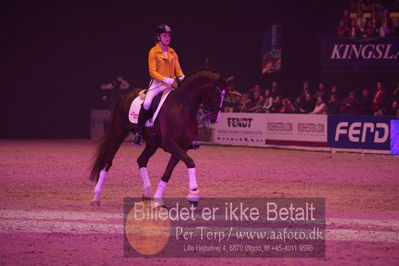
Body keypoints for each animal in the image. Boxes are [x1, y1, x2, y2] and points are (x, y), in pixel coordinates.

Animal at [91, 68, 228, 206]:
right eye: (217, 95)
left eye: (224, 95)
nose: (215, 119)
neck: (182, 108)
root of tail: (124, 97)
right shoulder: (170, 144)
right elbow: (190, 162)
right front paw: (193, 194)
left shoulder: (182, 147)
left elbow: (168, 172)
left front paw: (158, 199)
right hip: (118, 133)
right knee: (108, 162)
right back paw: (96, 197)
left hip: (152, 143)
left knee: (141, 160)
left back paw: (147, 195)